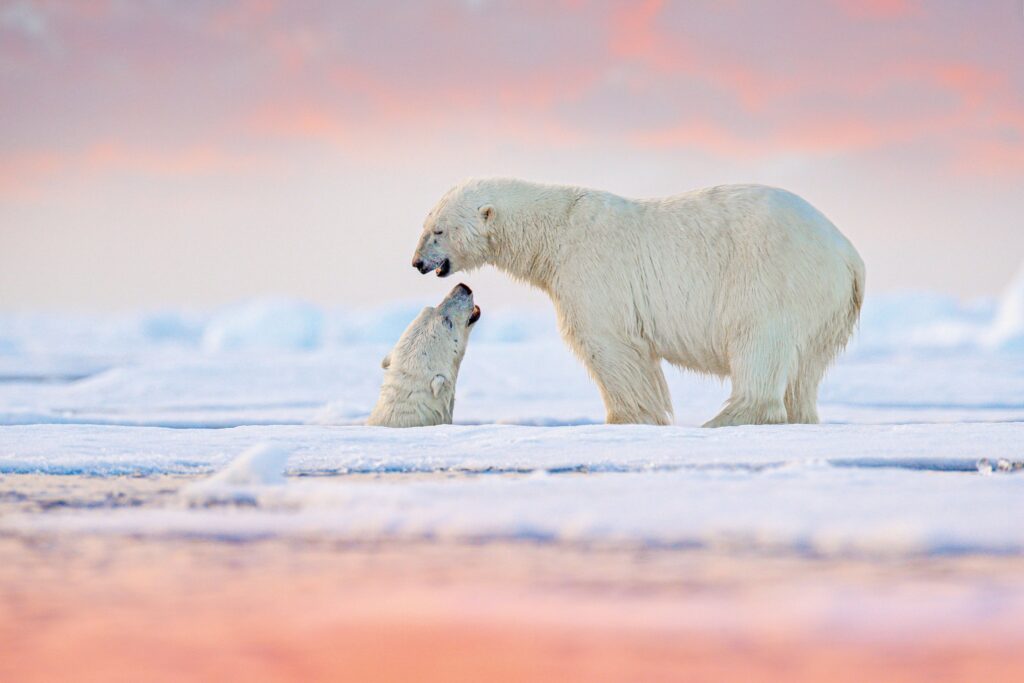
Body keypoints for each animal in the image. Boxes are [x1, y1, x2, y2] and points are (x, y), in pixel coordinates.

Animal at [411, 178, 864, 427]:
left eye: (438, 230)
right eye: (426, 225)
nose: (417, 262)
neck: (554, 232)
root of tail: (848, 255)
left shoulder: (592, 270)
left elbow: (608, 346)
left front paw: (627, 418)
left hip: (773, 276)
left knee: (758, 341)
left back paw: (724, 418)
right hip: (827, 307)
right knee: (805, 369)